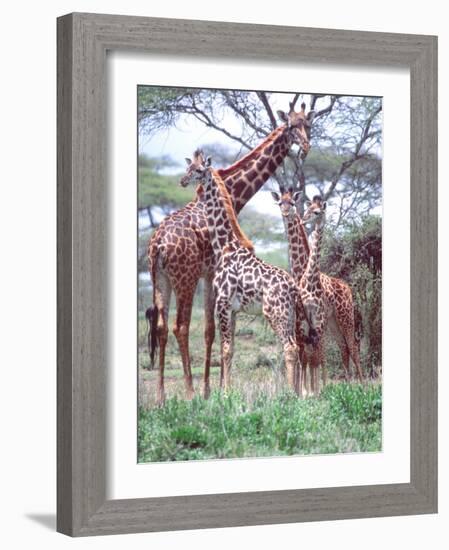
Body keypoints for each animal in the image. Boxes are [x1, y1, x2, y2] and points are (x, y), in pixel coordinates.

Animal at [179, 149, 300, 394]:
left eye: (199, 170)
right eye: (188, 167)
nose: (183, 180)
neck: (225, 245)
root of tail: (292, 287)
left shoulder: (223, 303)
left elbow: (224, 349)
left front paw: (225, 394)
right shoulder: (233, 309)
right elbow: (231, 349)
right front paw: (227, 390)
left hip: (275, 312)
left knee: (290, 347)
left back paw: (291, 394)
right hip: (290, 314)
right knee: (297, 347)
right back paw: (299, 392)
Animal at [272, 191, 362, 396]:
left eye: (292, 202)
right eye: (280, 202)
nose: (288, 214)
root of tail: (346, 287)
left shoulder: (316, 322)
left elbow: (315, 356)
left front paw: (313, 391)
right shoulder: (302, 322)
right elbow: (304, 355)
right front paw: (303, 391)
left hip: (345, 317)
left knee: (352, 347)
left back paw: (361, 386)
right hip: (333, 323)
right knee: (343, 348)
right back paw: (348, 386)